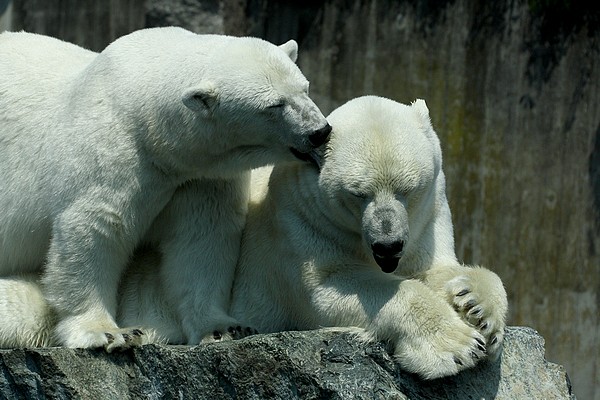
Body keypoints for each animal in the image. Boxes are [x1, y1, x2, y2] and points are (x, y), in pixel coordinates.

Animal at [0, 26, 330, 350]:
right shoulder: (115, 153)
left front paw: (224, 328)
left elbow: (202, 238)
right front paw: (107, 332)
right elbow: (95, 229)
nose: (320, 131)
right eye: (274, 105)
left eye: (305, 88)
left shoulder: (198, 177)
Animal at [227, 96, 508, 378]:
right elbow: (326, 289)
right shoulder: (302, 224)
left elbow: (434, 269)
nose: (388, 245)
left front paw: (477, 307)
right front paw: (459, 345)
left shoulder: (428, 217)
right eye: (358, 193)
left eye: (408, 188)